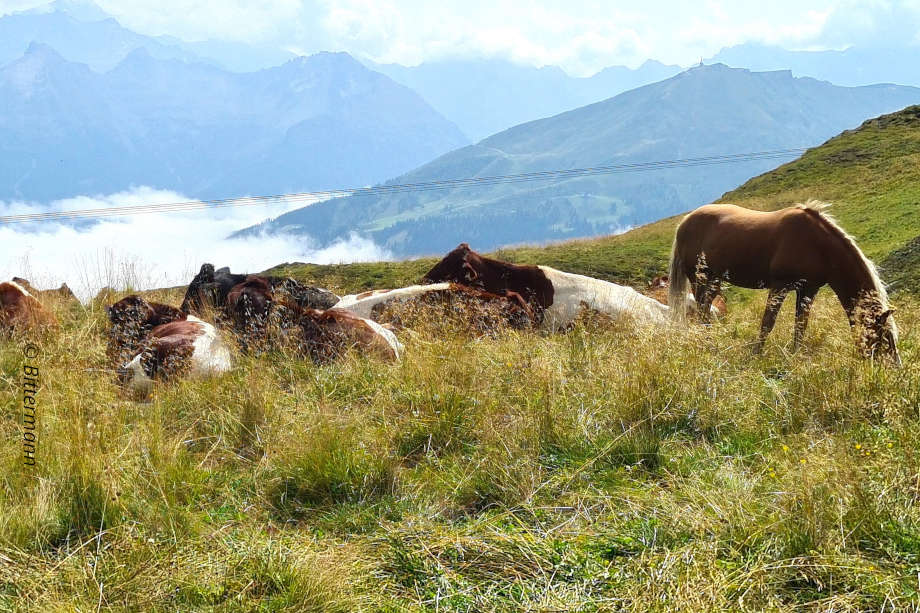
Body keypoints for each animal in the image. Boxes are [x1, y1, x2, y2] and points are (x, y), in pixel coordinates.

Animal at [664, 201, 904, 364]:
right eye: (884, 337)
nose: (894, 368)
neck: (818, 246)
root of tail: (685, 222)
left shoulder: (808, 290)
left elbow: (800, 325)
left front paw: (794, 355)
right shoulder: (780, 286)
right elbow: (767, 323)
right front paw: (756, 354)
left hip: (714, 280)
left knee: (705, 310)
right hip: (699, 279)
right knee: (702, 313)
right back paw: (709, 346)